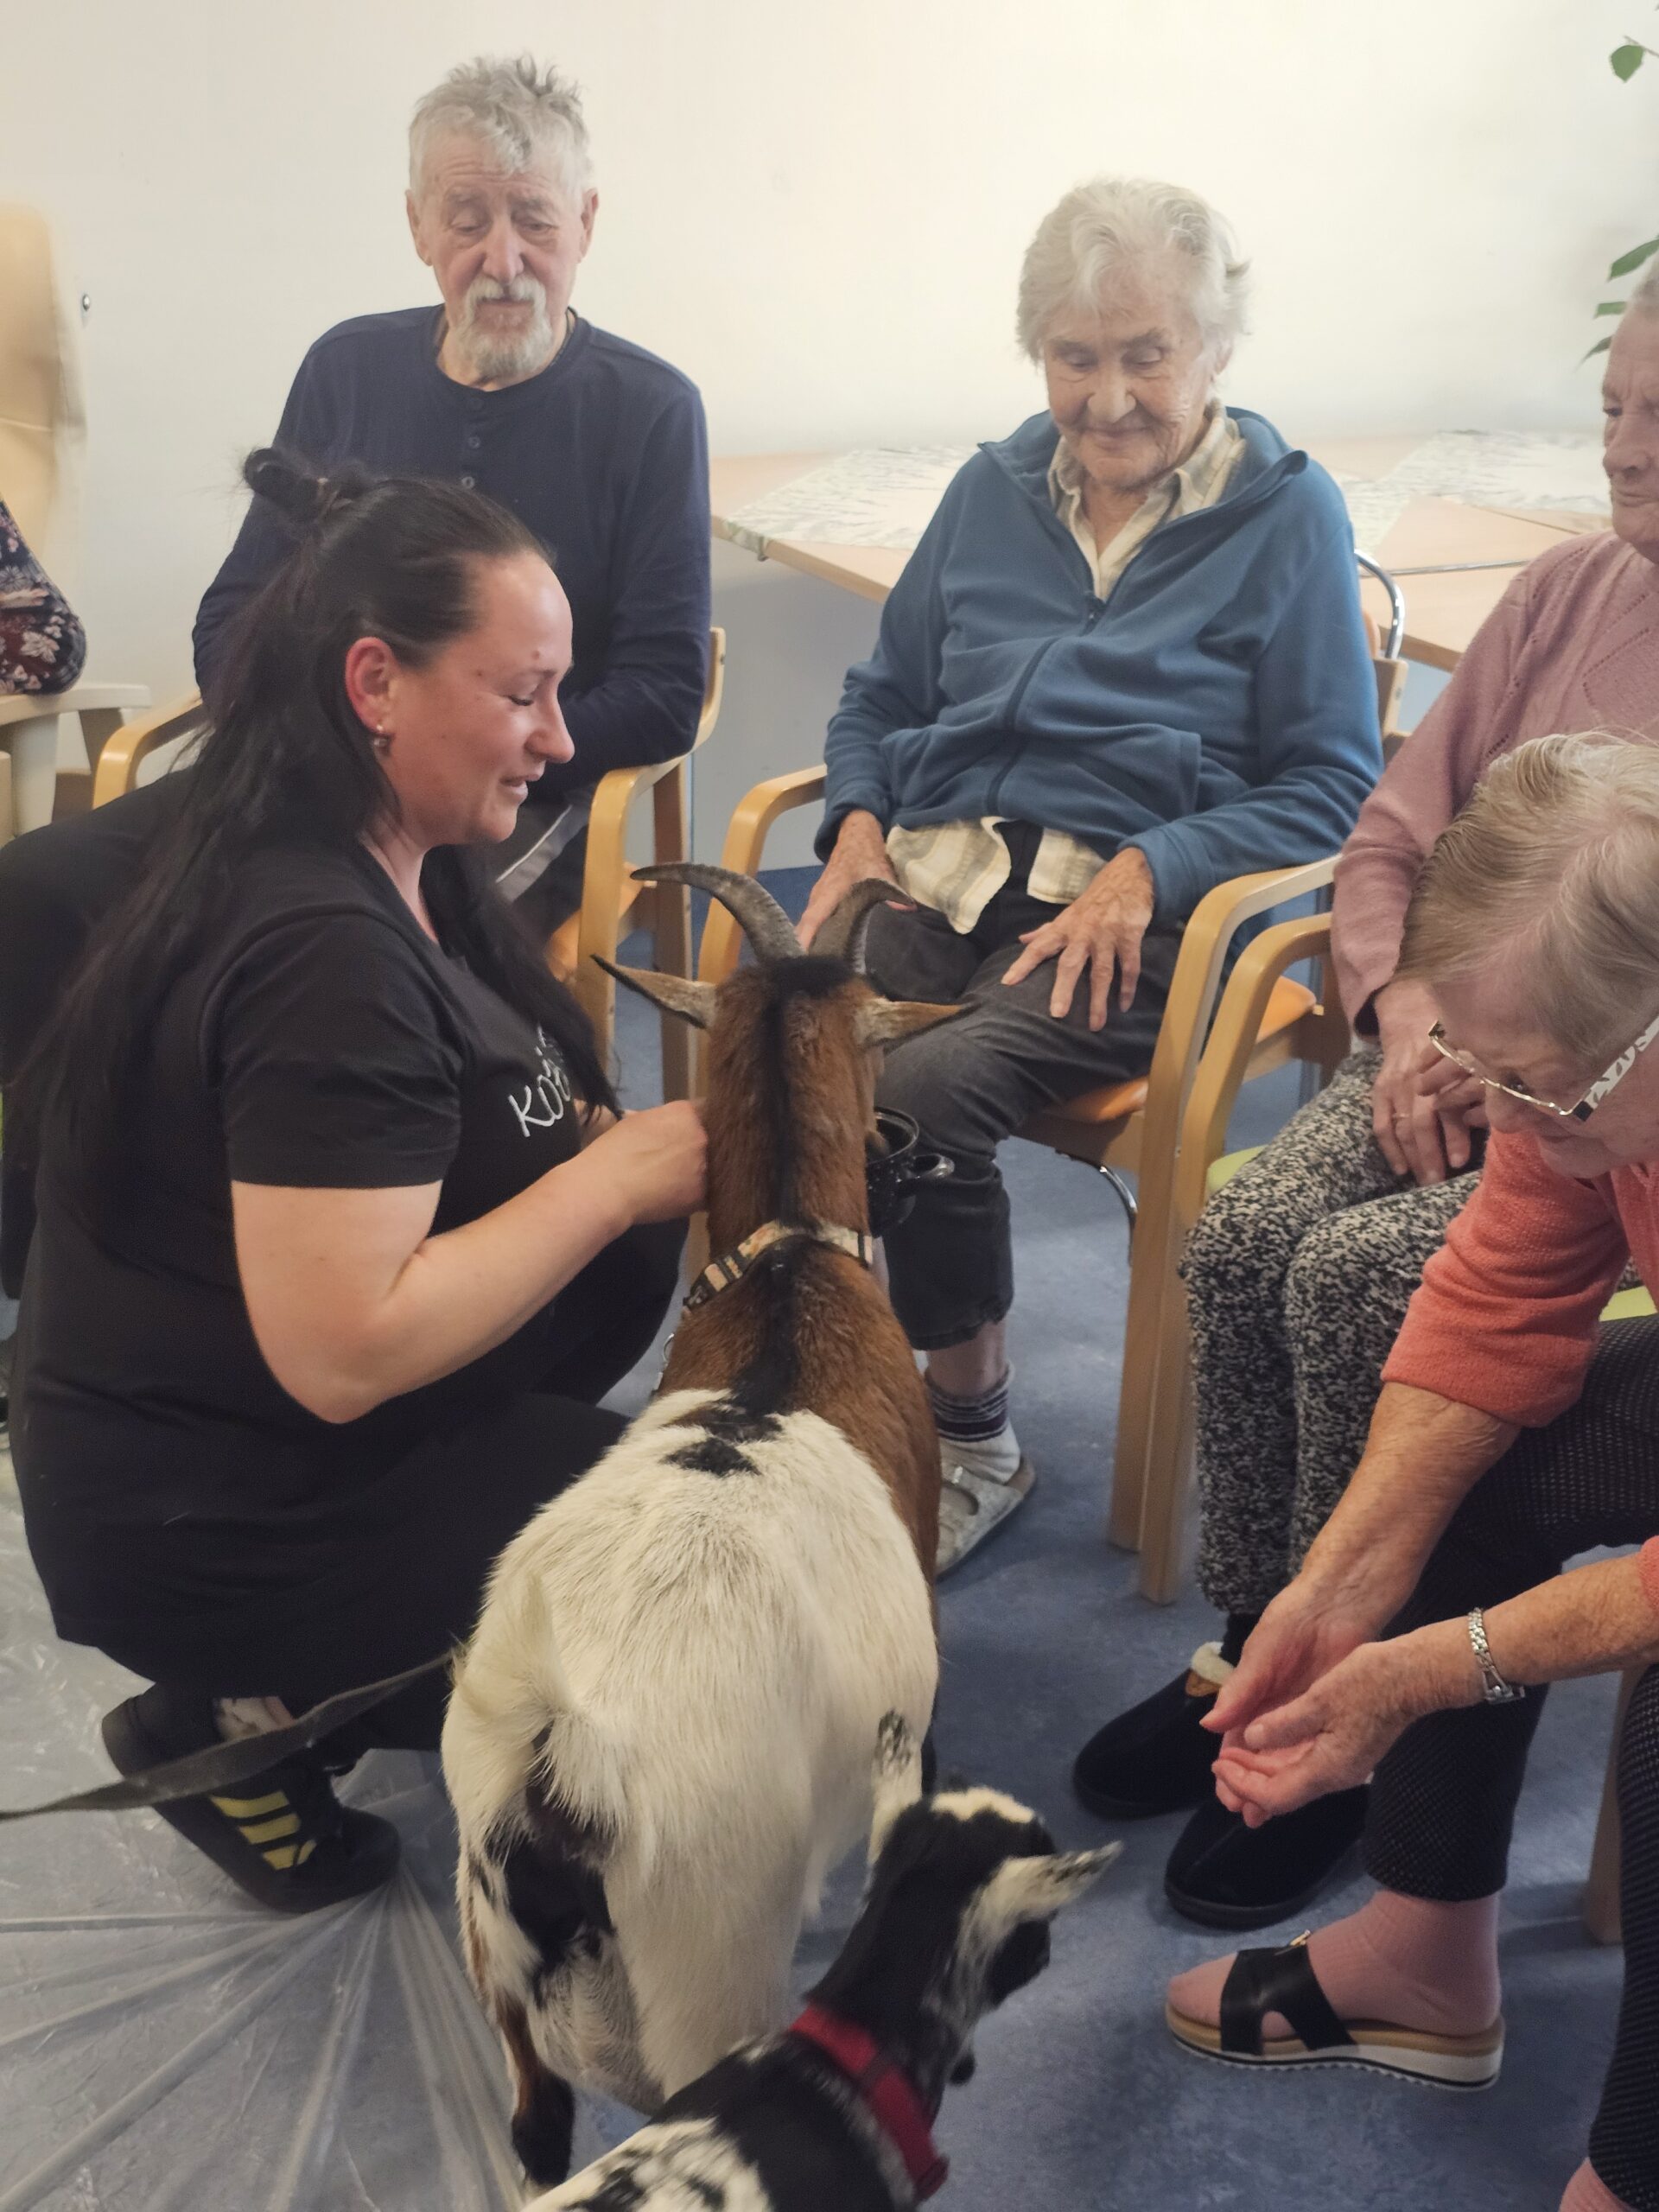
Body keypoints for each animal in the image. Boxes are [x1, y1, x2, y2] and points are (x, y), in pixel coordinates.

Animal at [442, 868, 963, 2187]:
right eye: (882, 1039)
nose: (903, 1150)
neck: (790, 1291)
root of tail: (559, 1786)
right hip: (708, 1972)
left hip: (492, 1964)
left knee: (534, 2130)